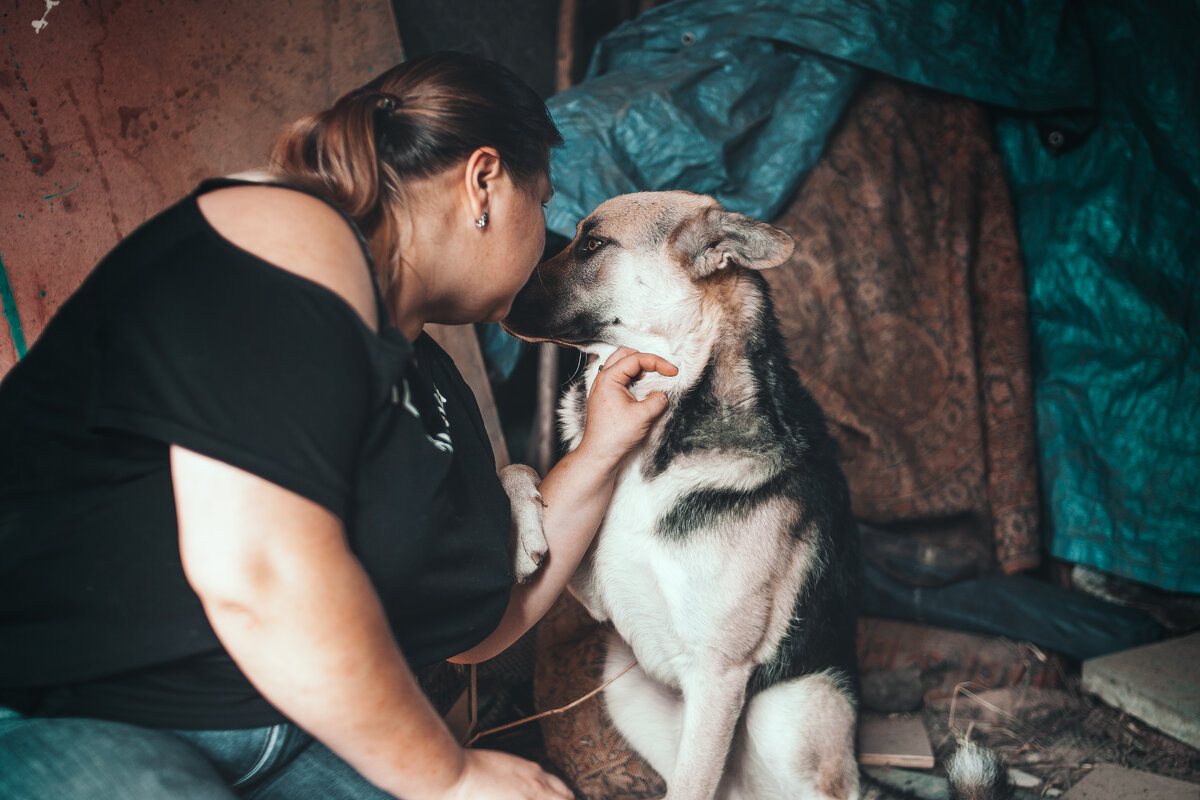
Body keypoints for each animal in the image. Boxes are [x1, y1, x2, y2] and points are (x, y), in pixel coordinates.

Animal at [496, 191, 1012, 800]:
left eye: (593, 244)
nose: (497, 299)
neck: (660, 439)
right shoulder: (601, 587)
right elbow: (518, 464)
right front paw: (520, 534)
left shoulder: (720, 674)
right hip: (625, 687)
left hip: (783, 712)